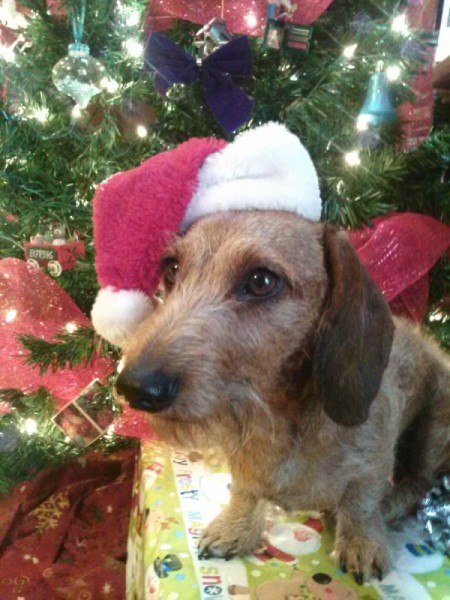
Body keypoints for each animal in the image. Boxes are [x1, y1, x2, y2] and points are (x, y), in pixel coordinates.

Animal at [117, 210, 450, 580]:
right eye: (172, 268)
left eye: (261, 281)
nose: (134, 387)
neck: (280, 415)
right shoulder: (244, 463)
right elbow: (245, 490)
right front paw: (235, 529)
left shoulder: (373, 465)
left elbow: (361, 503)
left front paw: (361, 543)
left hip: (435, 423)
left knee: (419, 480)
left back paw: (389, 504)